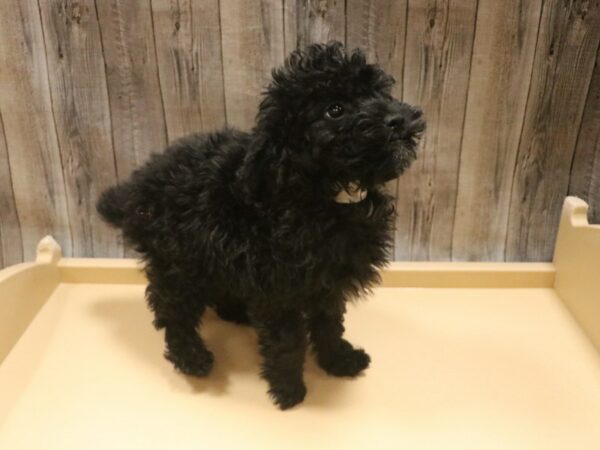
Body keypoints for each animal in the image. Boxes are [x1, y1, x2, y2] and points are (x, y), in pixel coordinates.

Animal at [98, 42, 424, 412]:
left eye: (379, 93)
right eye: (335, 110)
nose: (397, 120)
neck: (327, 194)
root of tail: (135, 188)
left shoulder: (326, 283)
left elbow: (329, 324)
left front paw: (338, 361)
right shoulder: (279, 291)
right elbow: (287, 343)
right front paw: (288, 390)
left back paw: (235, 312)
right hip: (180, 262)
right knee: (172, 311)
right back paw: (192, 358)